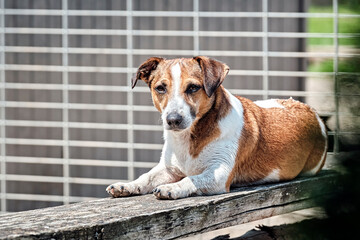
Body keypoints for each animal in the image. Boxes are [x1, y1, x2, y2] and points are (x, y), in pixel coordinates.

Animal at [105, 56, 328, 199]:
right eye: (160, 88)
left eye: (193, 88)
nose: (173, 119)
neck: (189, 138)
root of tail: (313, 113)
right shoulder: (167, 168)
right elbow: (147, 177)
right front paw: (128, 185)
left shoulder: (219, 173)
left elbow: (191, 179)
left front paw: (172, 188)